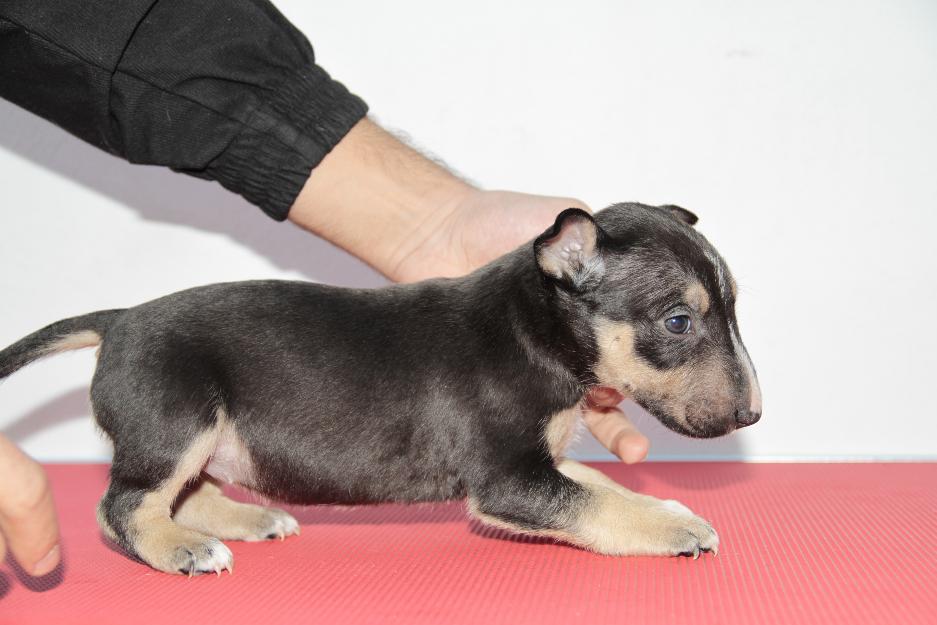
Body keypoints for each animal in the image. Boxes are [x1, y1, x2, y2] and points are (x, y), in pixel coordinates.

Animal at [0, 202, 756, 572]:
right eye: (679, 320)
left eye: (731, 308)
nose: (752, 414)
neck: (536, 325)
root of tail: (118, 319)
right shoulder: (509, 482)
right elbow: (592, 504)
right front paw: (673, 528)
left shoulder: (540, 461)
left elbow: (601, 484)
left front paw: (668, 507)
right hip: (178, 418)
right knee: (121, 506)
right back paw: (180, 549)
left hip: (205, 433)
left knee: (188, 492)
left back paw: (248, 520)